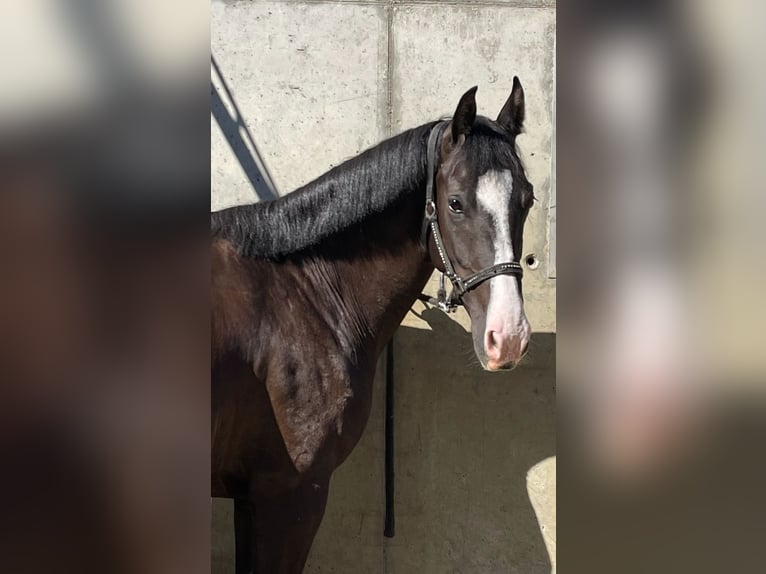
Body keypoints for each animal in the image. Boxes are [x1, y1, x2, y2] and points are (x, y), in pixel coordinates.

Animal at [211, 78, 535, 573]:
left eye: (528, 199)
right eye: (455, 203)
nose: (509, 336)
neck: (302, 292)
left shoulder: (253, 499)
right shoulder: (287, 495)